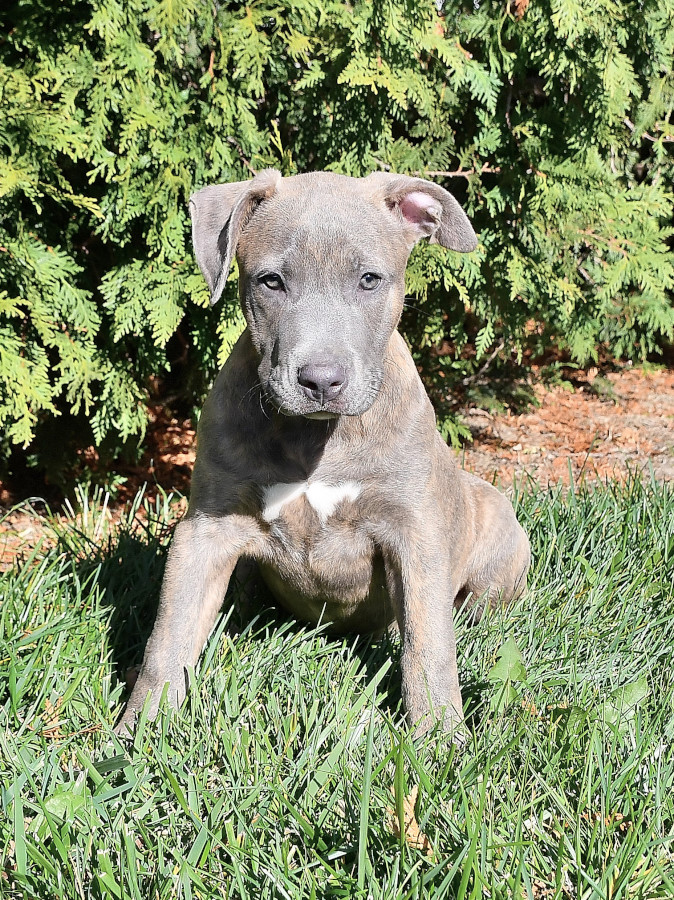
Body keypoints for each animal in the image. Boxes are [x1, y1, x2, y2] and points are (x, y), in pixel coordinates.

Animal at [115, 171, 528, 740]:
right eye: (271, 282)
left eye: (370, 280)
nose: (321, 380)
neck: (316, 438)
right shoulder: (206, 529)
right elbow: (170, 633)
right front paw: (140, 730)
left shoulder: (414, 535)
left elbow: (427, 642)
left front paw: (439, 739)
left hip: (497, 535)